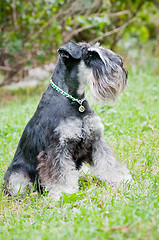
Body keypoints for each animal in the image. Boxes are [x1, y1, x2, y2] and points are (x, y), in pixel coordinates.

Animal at [3, 41, 132, 201]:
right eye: (90, 55)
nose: (121, 64)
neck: (75, 101)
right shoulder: (58, 148)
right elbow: (60, 174)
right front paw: (65, 192)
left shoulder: (95, 141)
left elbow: (108, 162)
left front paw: (120, 179)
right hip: (17, 175)